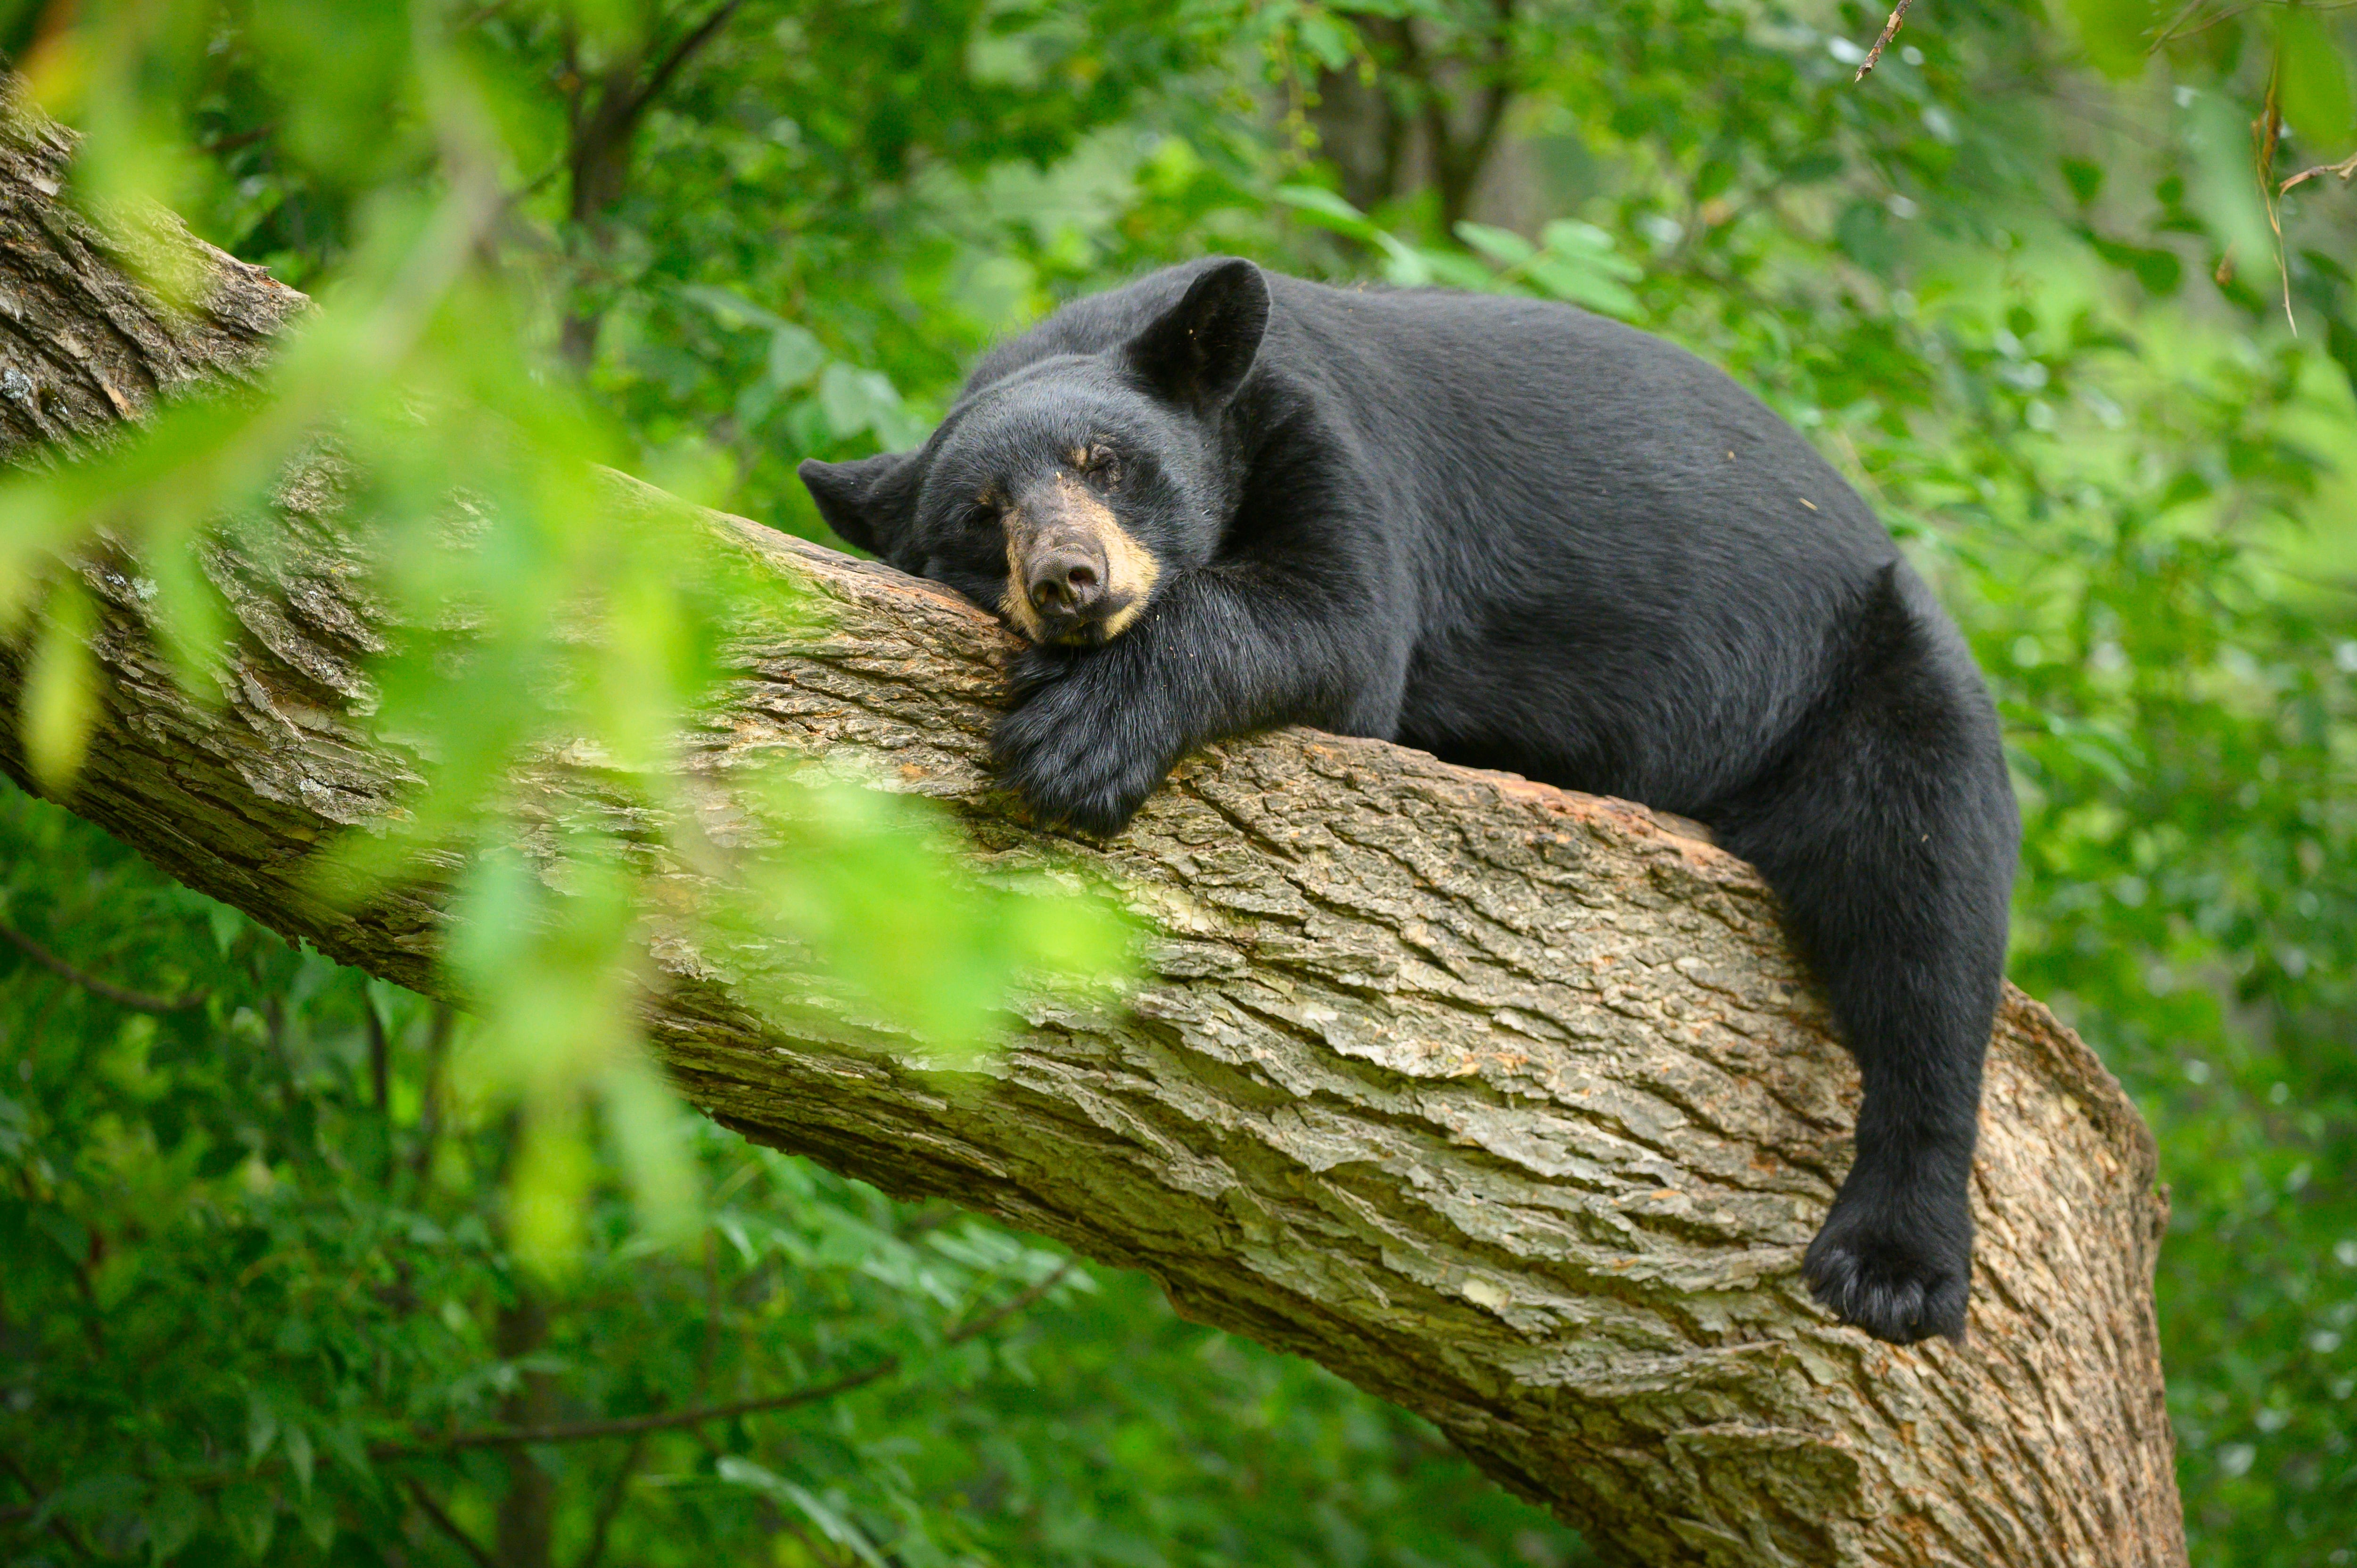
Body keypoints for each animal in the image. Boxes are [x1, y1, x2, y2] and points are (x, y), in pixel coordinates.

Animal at [801, 257, 2018, 1348]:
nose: (1069, 580)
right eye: (980, 513)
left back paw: (1892, 1261)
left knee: (1924, 903)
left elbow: (1335, 619)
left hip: (1866, 675)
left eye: (1106, 463)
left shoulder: (1330, 443)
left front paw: (1081, 737)